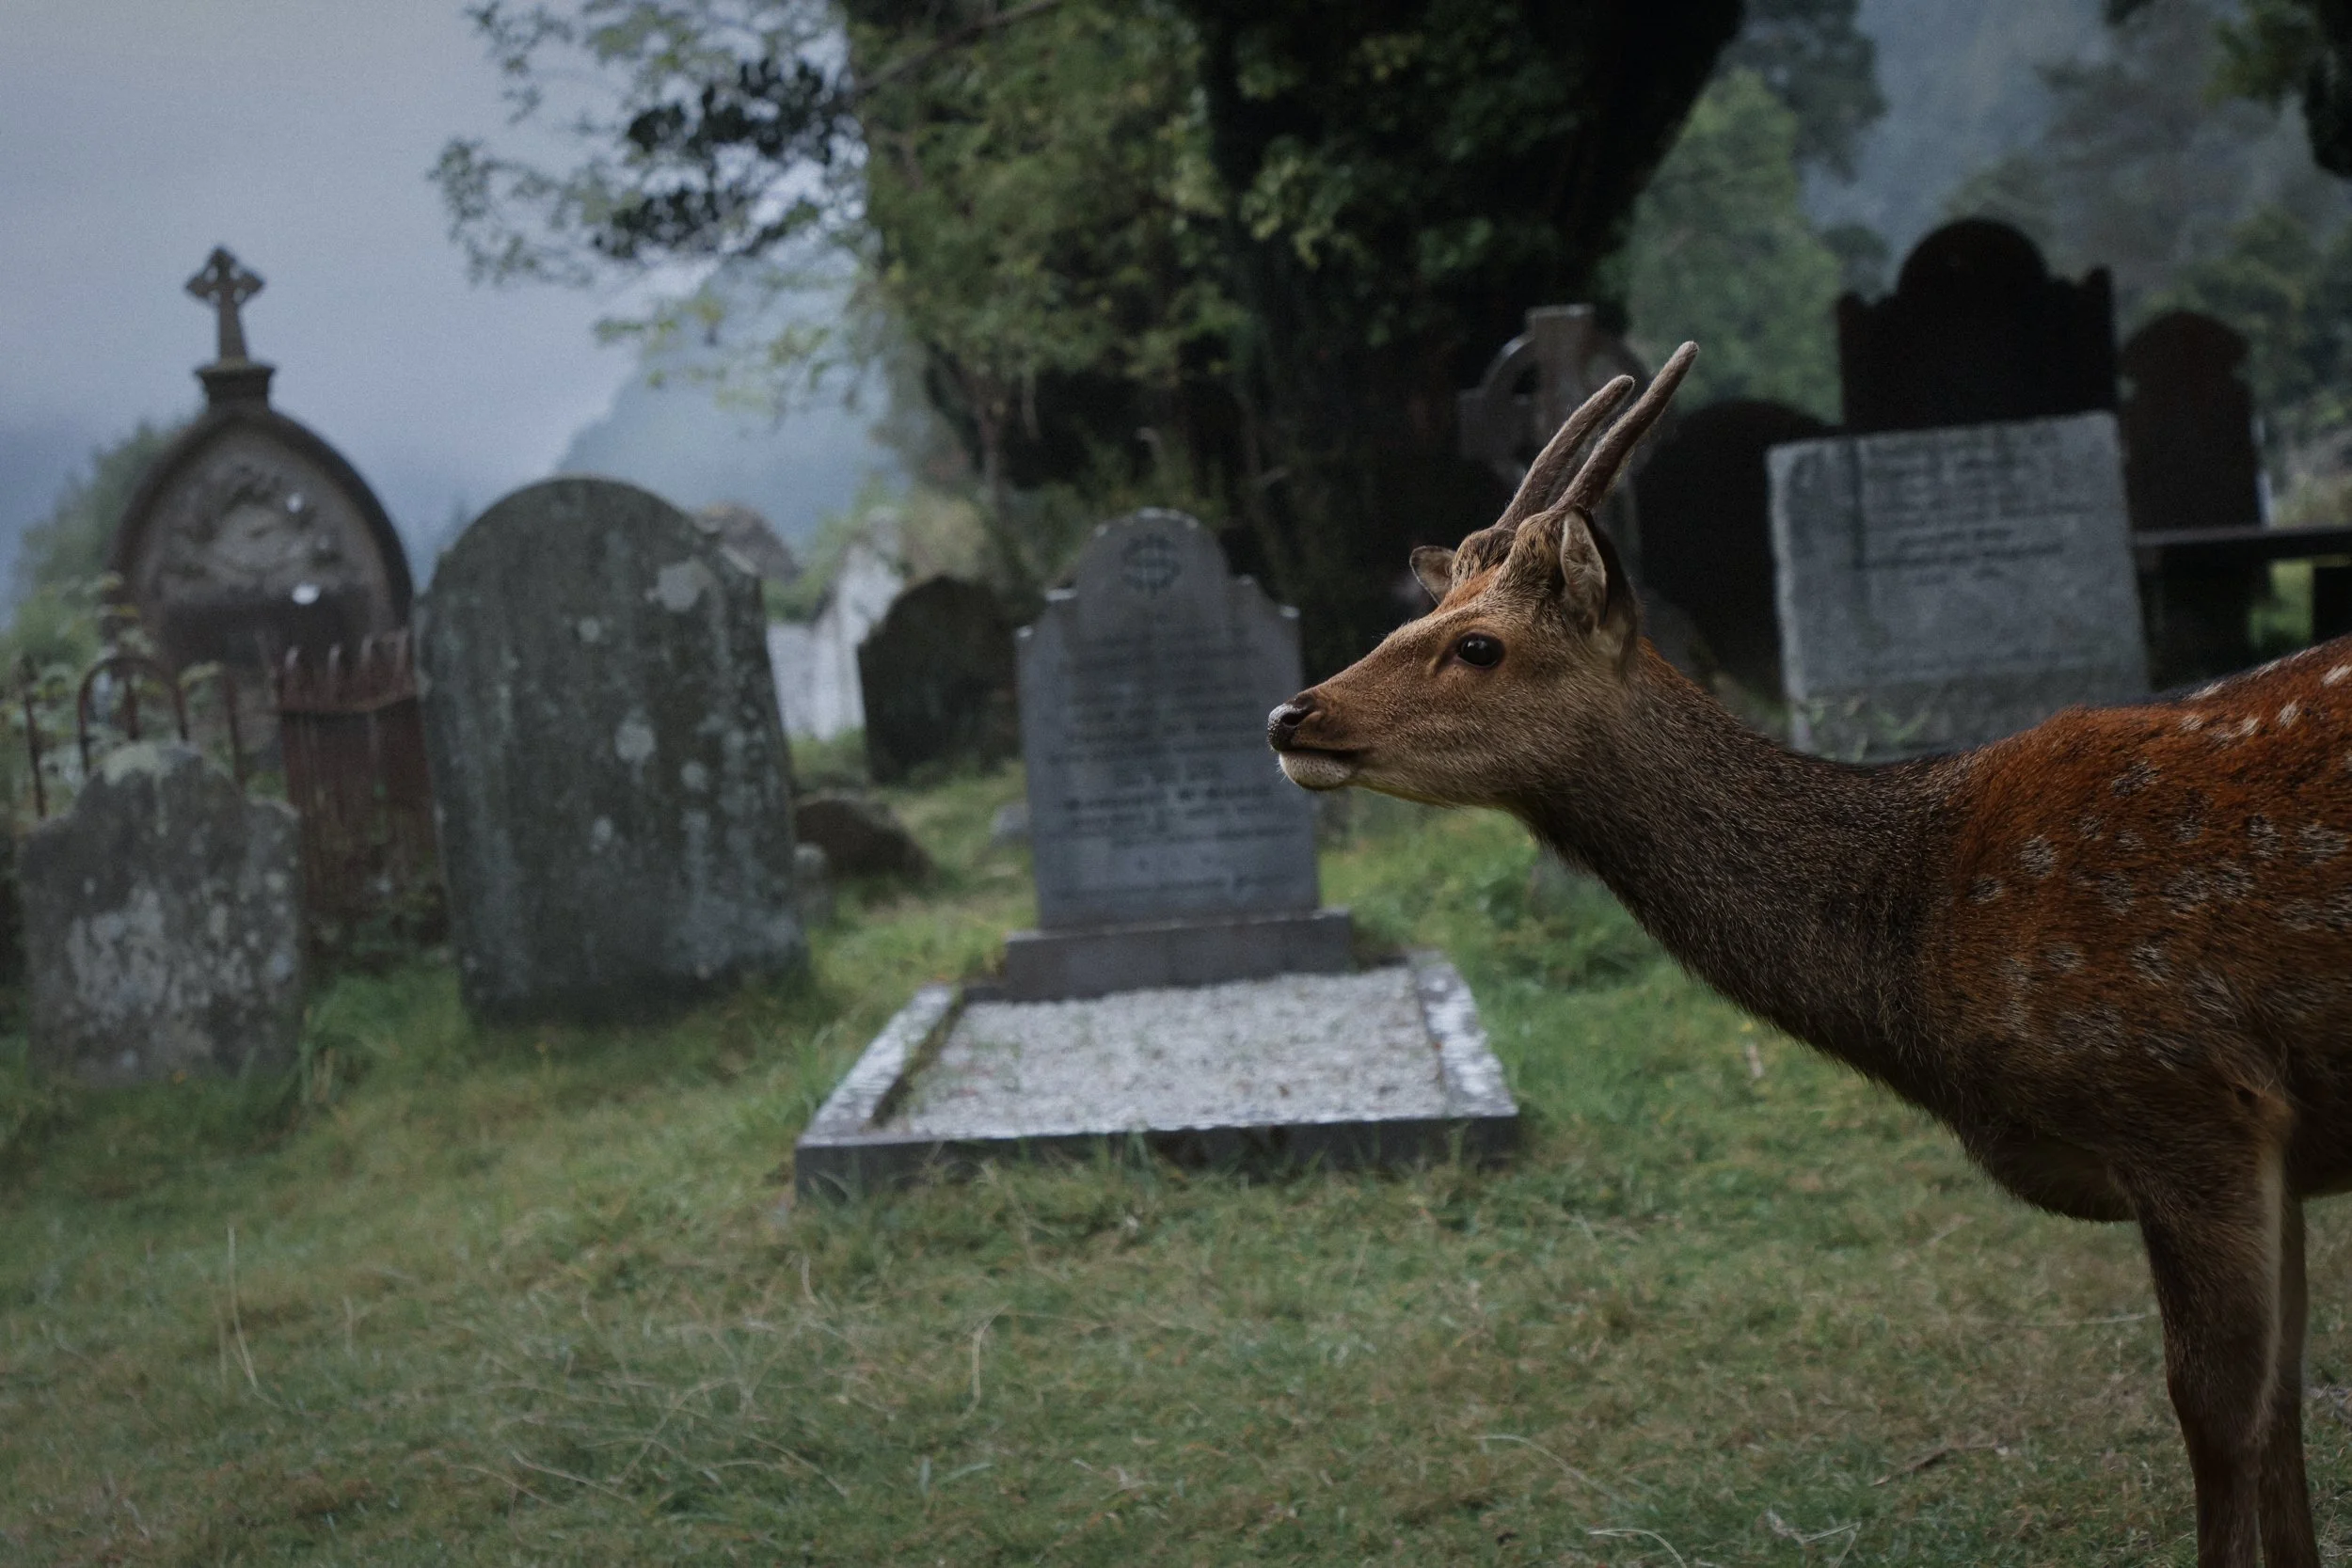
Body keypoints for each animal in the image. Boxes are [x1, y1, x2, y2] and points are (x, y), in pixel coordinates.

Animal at [1267, 341, 2351, 1567]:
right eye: (1424, 615)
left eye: (1477, 644)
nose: (1292, 716)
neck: (1919, 935)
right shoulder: (2279, 1143)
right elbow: (2283, 1412)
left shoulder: (2185, 1099)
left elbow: (2216, 1415)